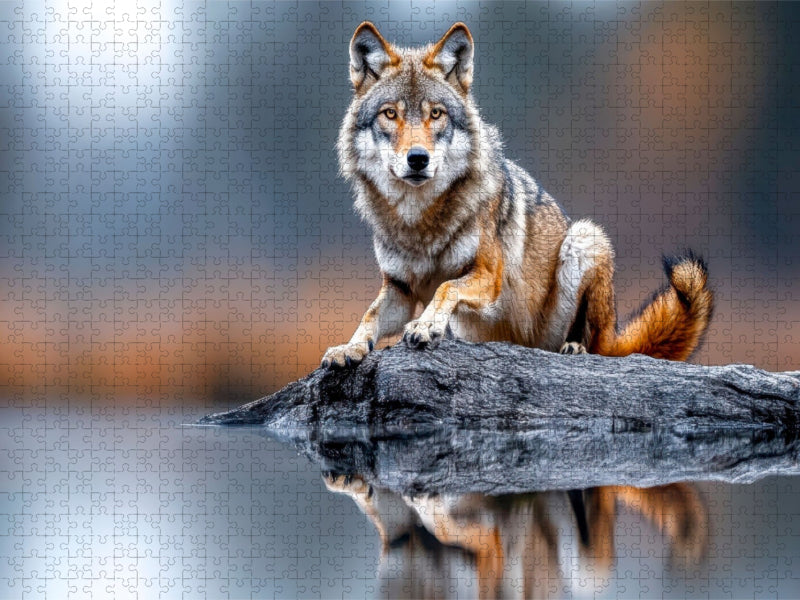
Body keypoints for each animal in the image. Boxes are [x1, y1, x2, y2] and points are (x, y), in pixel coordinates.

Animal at [322, 22, 713, 368]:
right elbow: (369, 316)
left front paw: (427, 325)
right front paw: (348, 348)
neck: (419, 220)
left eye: (436, 114)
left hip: (584, 238)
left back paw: (575, 348)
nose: (418, 159)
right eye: (390, 114)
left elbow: (445, 287)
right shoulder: (399, 289)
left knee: (596, 345)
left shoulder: (487, 276)